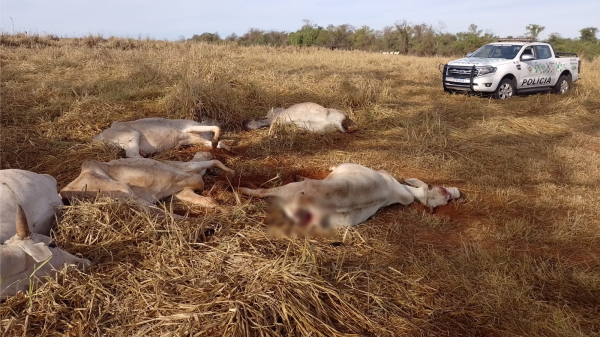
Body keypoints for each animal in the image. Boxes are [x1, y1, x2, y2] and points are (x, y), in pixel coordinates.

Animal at [60, 150, 234, 207]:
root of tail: (63, 191)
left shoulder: (182, 188)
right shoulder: (185, 172)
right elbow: (213, 162)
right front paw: (230, 172)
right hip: (121, 188)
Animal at [94, 117, 232, 158]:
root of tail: (98, 136)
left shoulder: (200, 140)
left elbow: (219, 143)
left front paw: (223, 147)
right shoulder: (190, 128)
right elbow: (216, 128)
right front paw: (216, 142)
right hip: (133, 134)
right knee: (132, 155)